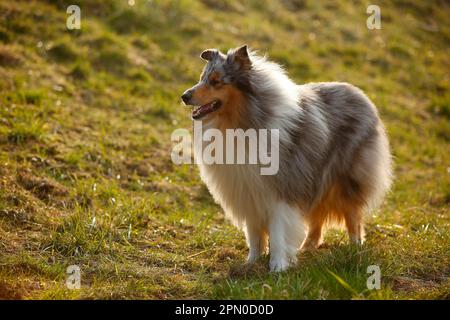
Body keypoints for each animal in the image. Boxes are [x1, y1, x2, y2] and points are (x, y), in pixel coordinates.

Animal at [181, 43, 392, 272]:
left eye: (216, 81)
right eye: (202, 78)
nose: (184, 96)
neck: (242, 122)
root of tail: (360, 94)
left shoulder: (283, 190)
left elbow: (279, 232)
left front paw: (278, 268)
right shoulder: (249, 191)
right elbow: (254, 234)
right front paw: (251, 263)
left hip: (346, 179)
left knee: (353, 216)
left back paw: (355, 249)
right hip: (317, 179)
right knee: (318, 217)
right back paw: (307, 247)